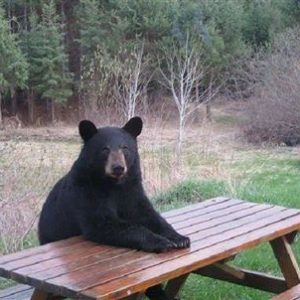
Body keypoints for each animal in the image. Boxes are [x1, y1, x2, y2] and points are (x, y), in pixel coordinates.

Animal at [38, 117, 191, 300]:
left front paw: (179, 238)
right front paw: (160, 241)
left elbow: (148, 214)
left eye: (125, 147)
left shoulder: (131, 191)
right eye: (105, 149)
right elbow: (104, 224)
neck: (113, 185)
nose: (118, 167)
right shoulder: (86, 192)